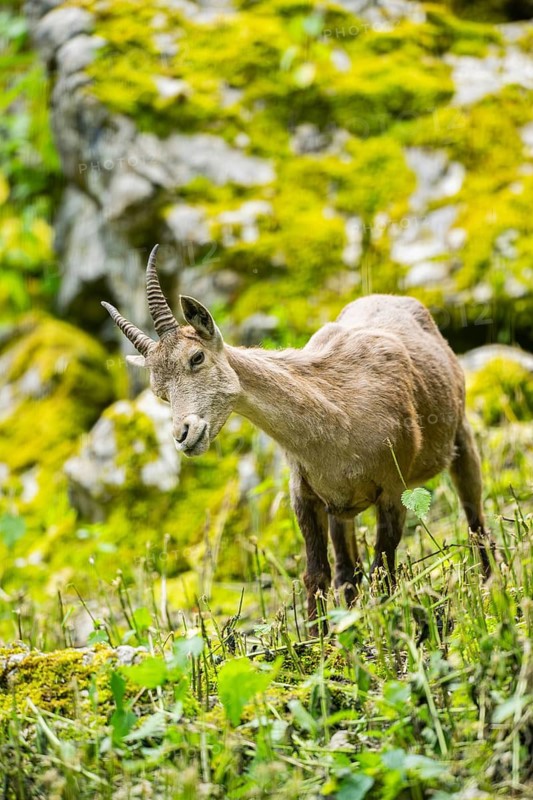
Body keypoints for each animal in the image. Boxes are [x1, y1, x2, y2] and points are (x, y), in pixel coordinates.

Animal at [102, 245, 491, 630]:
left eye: (196, 357)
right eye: (159, 391)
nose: (184, 435)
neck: (339, 418)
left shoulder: (393, 489)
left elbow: (383, 569)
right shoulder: (305, 494)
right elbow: (317, 574)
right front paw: (321, 641)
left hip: (460, 438)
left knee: (475, 519)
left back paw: (489, 586)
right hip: (342, 510)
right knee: (347, 570)